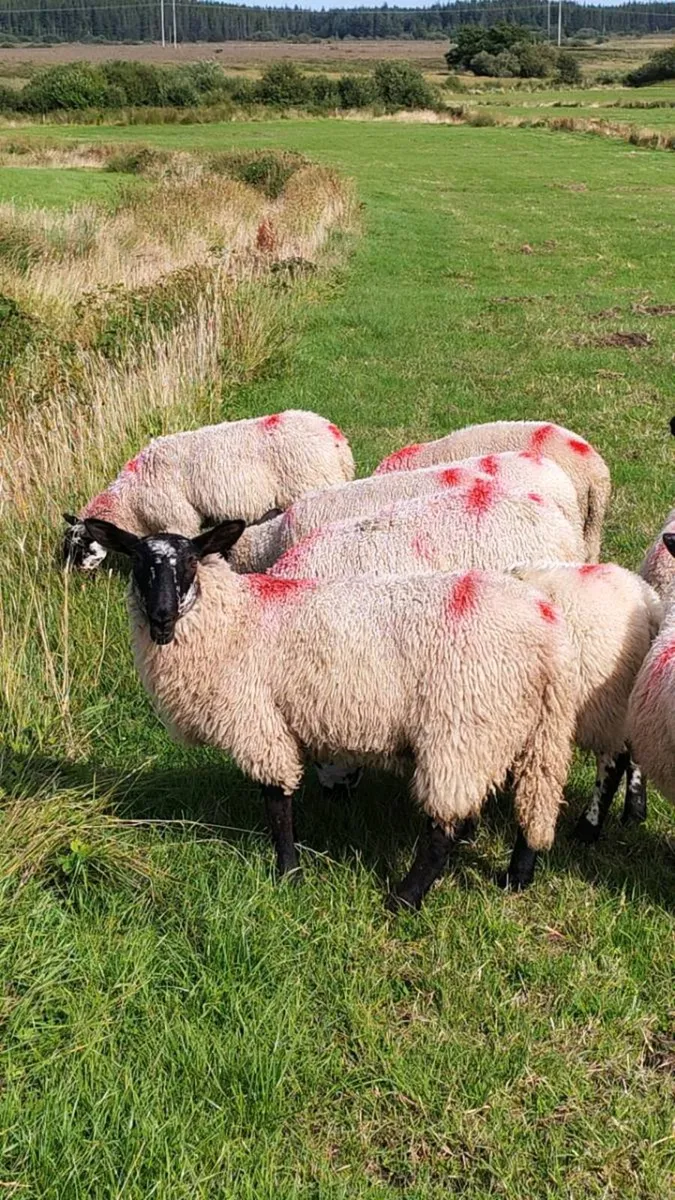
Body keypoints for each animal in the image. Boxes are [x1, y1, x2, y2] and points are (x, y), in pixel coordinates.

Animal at [83, 515, 577, 906]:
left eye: (189, 563)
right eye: (138, 564)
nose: (162, 616)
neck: (235, 621)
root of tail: (547, 629)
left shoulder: (258, 720)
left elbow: (275, 801)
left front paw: (287, 872)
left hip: (465, 728)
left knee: (447, 824)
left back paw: (405, 898)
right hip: (539, 732)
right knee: (535, 806)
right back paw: (515, 878)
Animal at [510, 563, 662, 842]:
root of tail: (648, 602)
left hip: (606, 703)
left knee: (614, 760)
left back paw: (587, 829)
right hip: (627, 700)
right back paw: (634, 811)